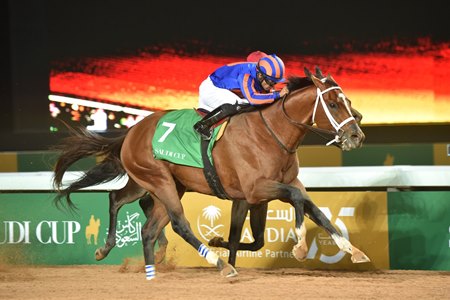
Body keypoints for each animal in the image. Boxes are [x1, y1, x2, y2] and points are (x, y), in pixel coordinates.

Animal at [52, 69, 370, 280]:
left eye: (348, 101)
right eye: (333, 104)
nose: (357, 135)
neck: (272, 133)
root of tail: (132, 131)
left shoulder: (281, 185)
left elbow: (313, 209)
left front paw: (353, 250)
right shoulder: (256, 189)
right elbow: (296, 201)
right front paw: (301, 247)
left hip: (160, 184)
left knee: (131, 210)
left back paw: (143, 264)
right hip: (158, 181)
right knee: (177, 223)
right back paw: (220, 265)